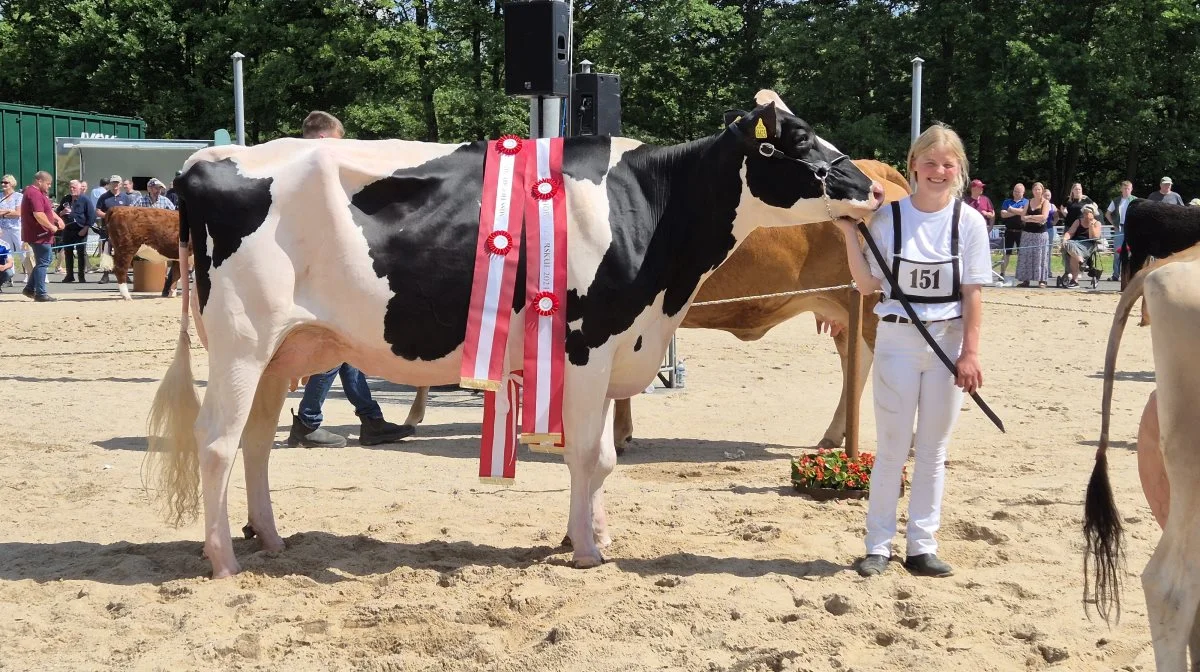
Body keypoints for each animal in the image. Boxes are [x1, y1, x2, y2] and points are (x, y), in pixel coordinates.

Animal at [145, 90, 888, 578]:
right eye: (792, 141)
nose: (872, 188)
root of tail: (206, 160)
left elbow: (589, 457)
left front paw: (581, 535)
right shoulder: (588, 345)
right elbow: (592, 455)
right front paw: (588, 551)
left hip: (283, 350)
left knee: (255, 442)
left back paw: (269, 539)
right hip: (241, 340)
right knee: (216, 441)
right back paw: (223, 558)